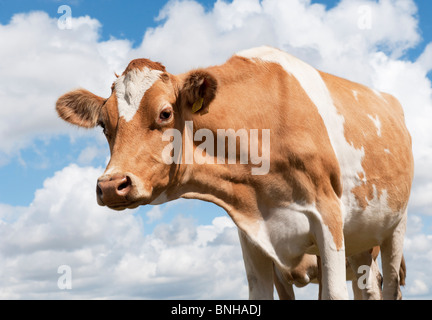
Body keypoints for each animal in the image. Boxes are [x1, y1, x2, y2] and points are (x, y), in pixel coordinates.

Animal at [55, 45, 414, 300]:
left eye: (165, 113)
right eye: (104, 124)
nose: (111, 185)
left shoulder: (328, 218)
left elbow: (335, 294)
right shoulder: (254, 233)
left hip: (394, 227)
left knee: (388, 287)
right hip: (360, 241)